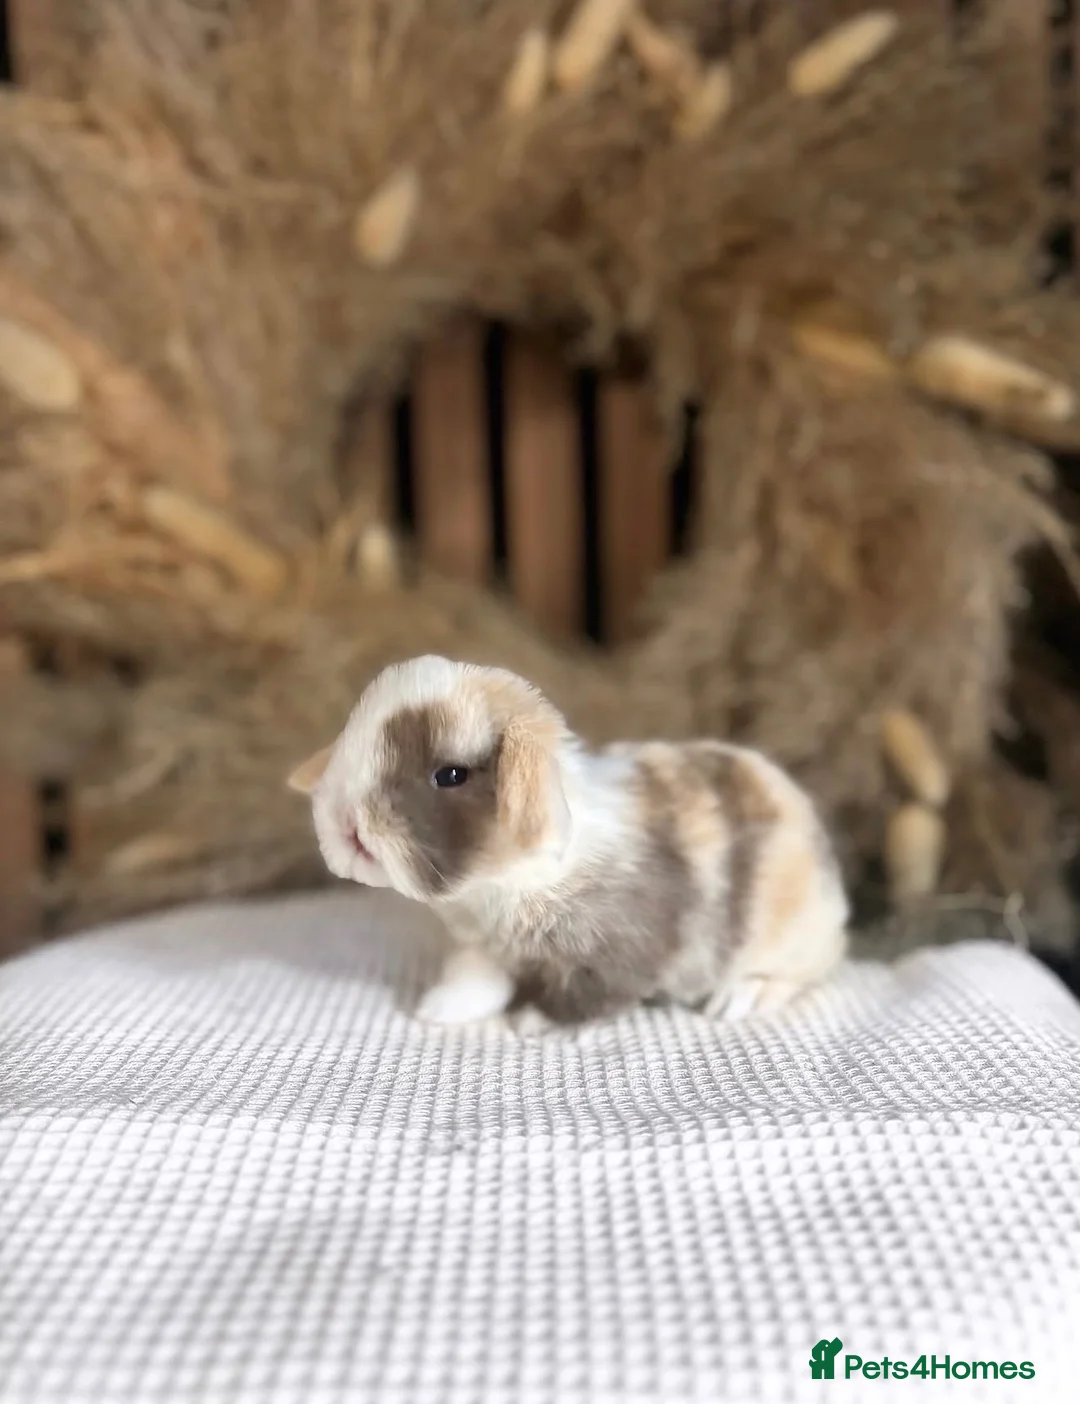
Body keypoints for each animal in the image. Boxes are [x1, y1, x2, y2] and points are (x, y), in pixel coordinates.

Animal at [288, 654, 849, 1028]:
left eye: (450, 775)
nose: (343, 825)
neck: (500, 883)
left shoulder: (611, 951)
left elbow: (584, 996)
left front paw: (531, 1023)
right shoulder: (480, 943)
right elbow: (477, 977)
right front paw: (440, 1010)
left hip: (791, 939)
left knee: (804, 973)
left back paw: (737, 1000)